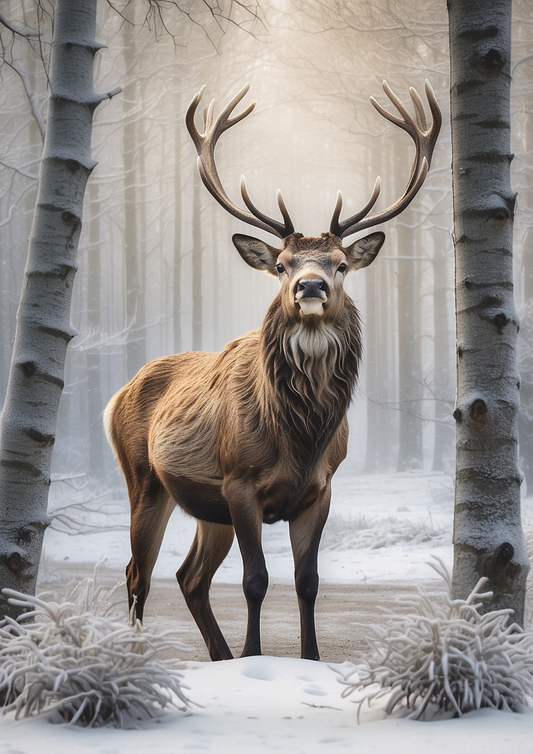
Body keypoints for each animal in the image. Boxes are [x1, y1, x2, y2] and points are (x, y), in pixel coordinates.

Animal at [104, 81, 441, 662]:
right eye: (282, 265)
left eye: (341, 265)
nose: (311, 286)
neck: (299, 437)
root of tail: (117, 395)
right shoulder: (240, 481)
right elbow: (255, 580)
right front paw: (255, 658)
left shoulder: (321, 489)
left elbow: (308, 581)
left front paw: (309, 658)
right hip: (144, 478)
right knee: (137, 574)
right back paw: (141, 656)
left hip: (205, 504)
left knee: (189, 577)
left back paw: (218, 656)